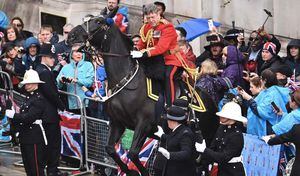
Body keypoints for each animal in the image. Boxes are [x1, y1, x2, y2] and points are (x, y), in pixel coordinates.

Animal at [68, 15, 218, 176]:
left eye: (98, 22)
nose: (71, 35)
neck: (128, 80)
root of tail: (213, 103)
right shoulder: (117, 123)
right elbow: (110, 149)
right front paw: (129, 171)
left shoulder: (144, 124)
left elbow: (133, 153)